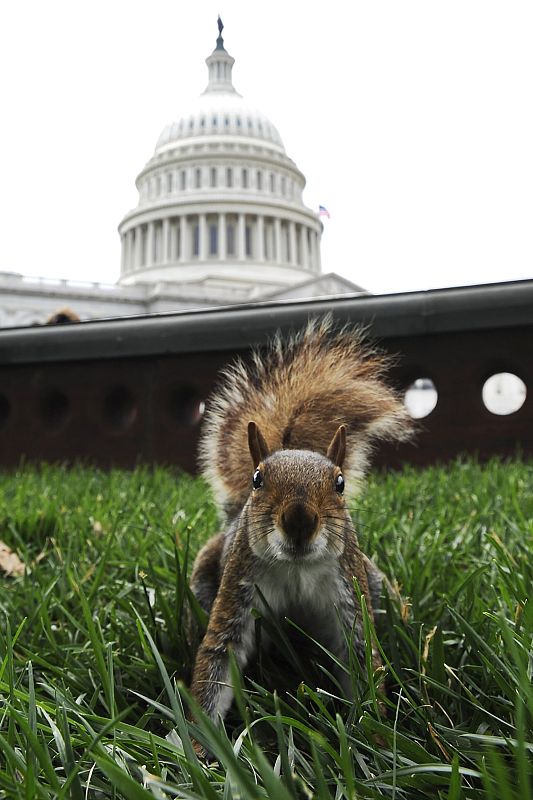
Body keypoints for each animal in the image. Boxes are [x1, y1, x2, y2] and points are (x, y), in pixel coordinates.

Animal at [189, 317, 413, 724]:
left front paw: (375, 734)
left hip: (374, 584)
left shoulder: (349, 592)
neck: (297, 568)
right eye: (257, 479)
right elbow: (218, 655)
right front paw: (195, 738)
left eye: (339, 483)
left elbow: (362, 660)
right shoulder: (238, 589)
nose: (299, 522)